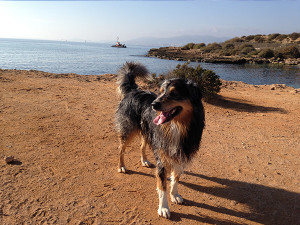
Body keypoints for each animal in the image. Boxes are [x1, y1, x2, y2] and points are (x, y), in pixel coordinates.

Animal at [114, 61, 204, 218]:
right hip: (128, 130)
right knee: (121, 149)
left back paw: (144, 161)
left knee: (142, 146)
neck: (177, 126)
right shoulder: (162, 158)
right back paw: (121, 166)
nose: (153, 104)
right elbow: (162, 187)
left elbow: (176, 178)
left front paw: (175, 194)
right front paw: (163, 208)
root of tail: (133, 90)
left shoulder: (181, 153)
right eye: (161, 91)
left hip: (147, 132)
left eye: (174, 93)